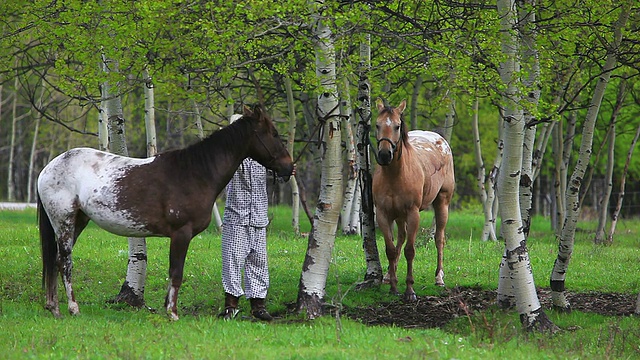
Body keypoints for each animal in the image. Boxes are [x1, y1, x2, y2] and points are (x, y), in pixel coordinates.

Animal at [37, 105, 292, 320]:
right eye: (274, 133)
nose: (289, 167)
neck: (194, 173)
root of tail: (47, 168)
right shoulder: (181, 233)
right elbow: (176, 273)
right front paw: (172, 313)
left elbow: (172, 274)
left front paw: (167, 309)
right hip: (64, 222)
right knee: (64, 261)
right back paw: (72, 308)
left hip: (79, 221)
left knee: (56, 260)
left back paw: (53, 307)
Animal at [370, 97, 456, 300]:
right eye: (377, 125)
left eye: (397, 126)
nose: (384, 155)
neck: (395, 175)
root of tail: (441, 141)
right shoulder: (383, 215)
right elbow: (390, 249)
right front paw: (393, 286)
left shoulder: (413, 213)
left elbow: (410, 251)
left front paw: (409, 290)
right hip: (399, 215)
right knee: (400, 239)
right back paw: (388, 275)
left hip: (442, 203)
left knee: (439, 238)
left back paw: (439, 277)